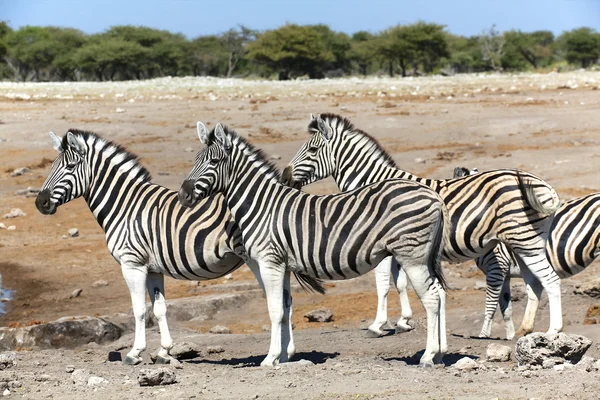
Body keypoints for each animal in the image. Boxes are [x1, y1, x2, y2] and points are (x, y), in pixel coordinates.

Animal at [34, 130, 276, 364]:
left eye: (70, 167)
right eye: (52, 166)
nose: (40, 203)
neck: (124, 206)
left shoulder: (132, 264)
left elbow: (139, 309)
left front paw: (135, 353)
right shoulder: (152, 268)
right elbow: (159, 309)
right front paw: (164, 352)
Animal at [179, 122, 450, 368]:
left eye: (214, 162)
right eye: (195, 160)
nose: (183, 195)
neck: (261, 205)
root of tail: (433, 195)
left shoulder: (269, 262)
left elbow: (275, 311)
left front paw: (269, 359)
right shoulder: (284, 265)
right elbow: (286, 309)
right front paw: (284, 357)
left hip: (412, 256)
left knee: (431, 298)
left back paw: (428, 357)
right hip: (424, 257)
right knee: (439, 292)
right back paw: (440, 354)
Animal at [282, 111, 564, 338]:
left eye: (312, 151)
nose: (284, 177)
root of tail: (542, 184)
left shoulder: (378, 244)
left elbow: (383, 284)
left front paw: (377, 325)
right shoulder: (397, 247)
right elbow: (400, 283)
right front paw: (404, 321)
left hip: (524, 240)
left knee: (550, 280)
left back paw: (553, 331)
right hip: (524, 243)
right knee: (536, 283)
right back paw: (525, 330)